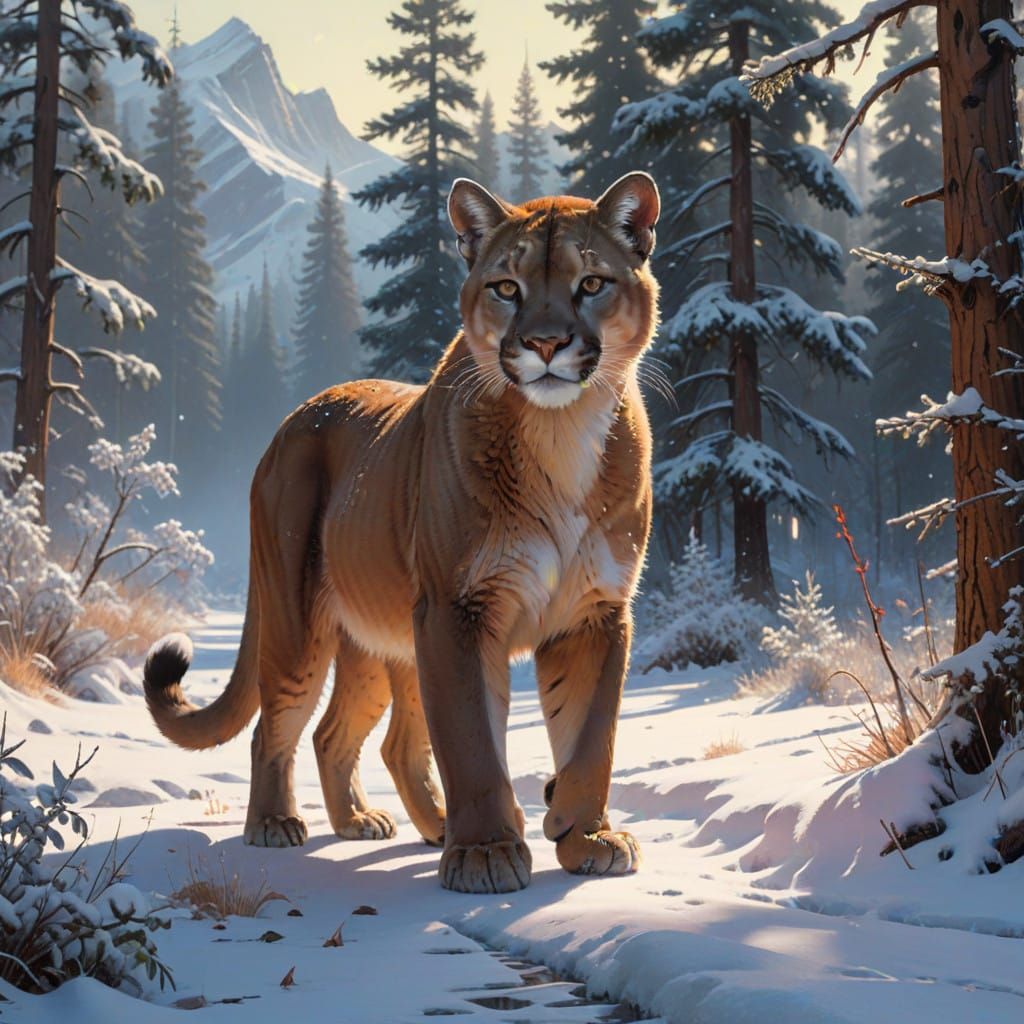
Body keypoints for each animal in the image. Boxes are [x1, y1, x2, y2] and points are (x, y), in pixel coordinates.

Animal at [143, 171, 660, 894]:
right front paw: (487, 852)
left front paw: (585, 835)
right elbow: (472, 743)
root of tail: (298, 415)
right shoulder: (458, 610)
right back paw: (278, 825)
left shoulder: (595, 613)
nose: (546, 345)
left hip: (384, 641)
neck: (560, 431)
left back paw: (383, 822)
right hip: (302, 625)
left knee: (352, 736)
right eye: (507, 287)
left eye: (591, 283)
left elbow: (592, 737)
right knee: (276, 726)